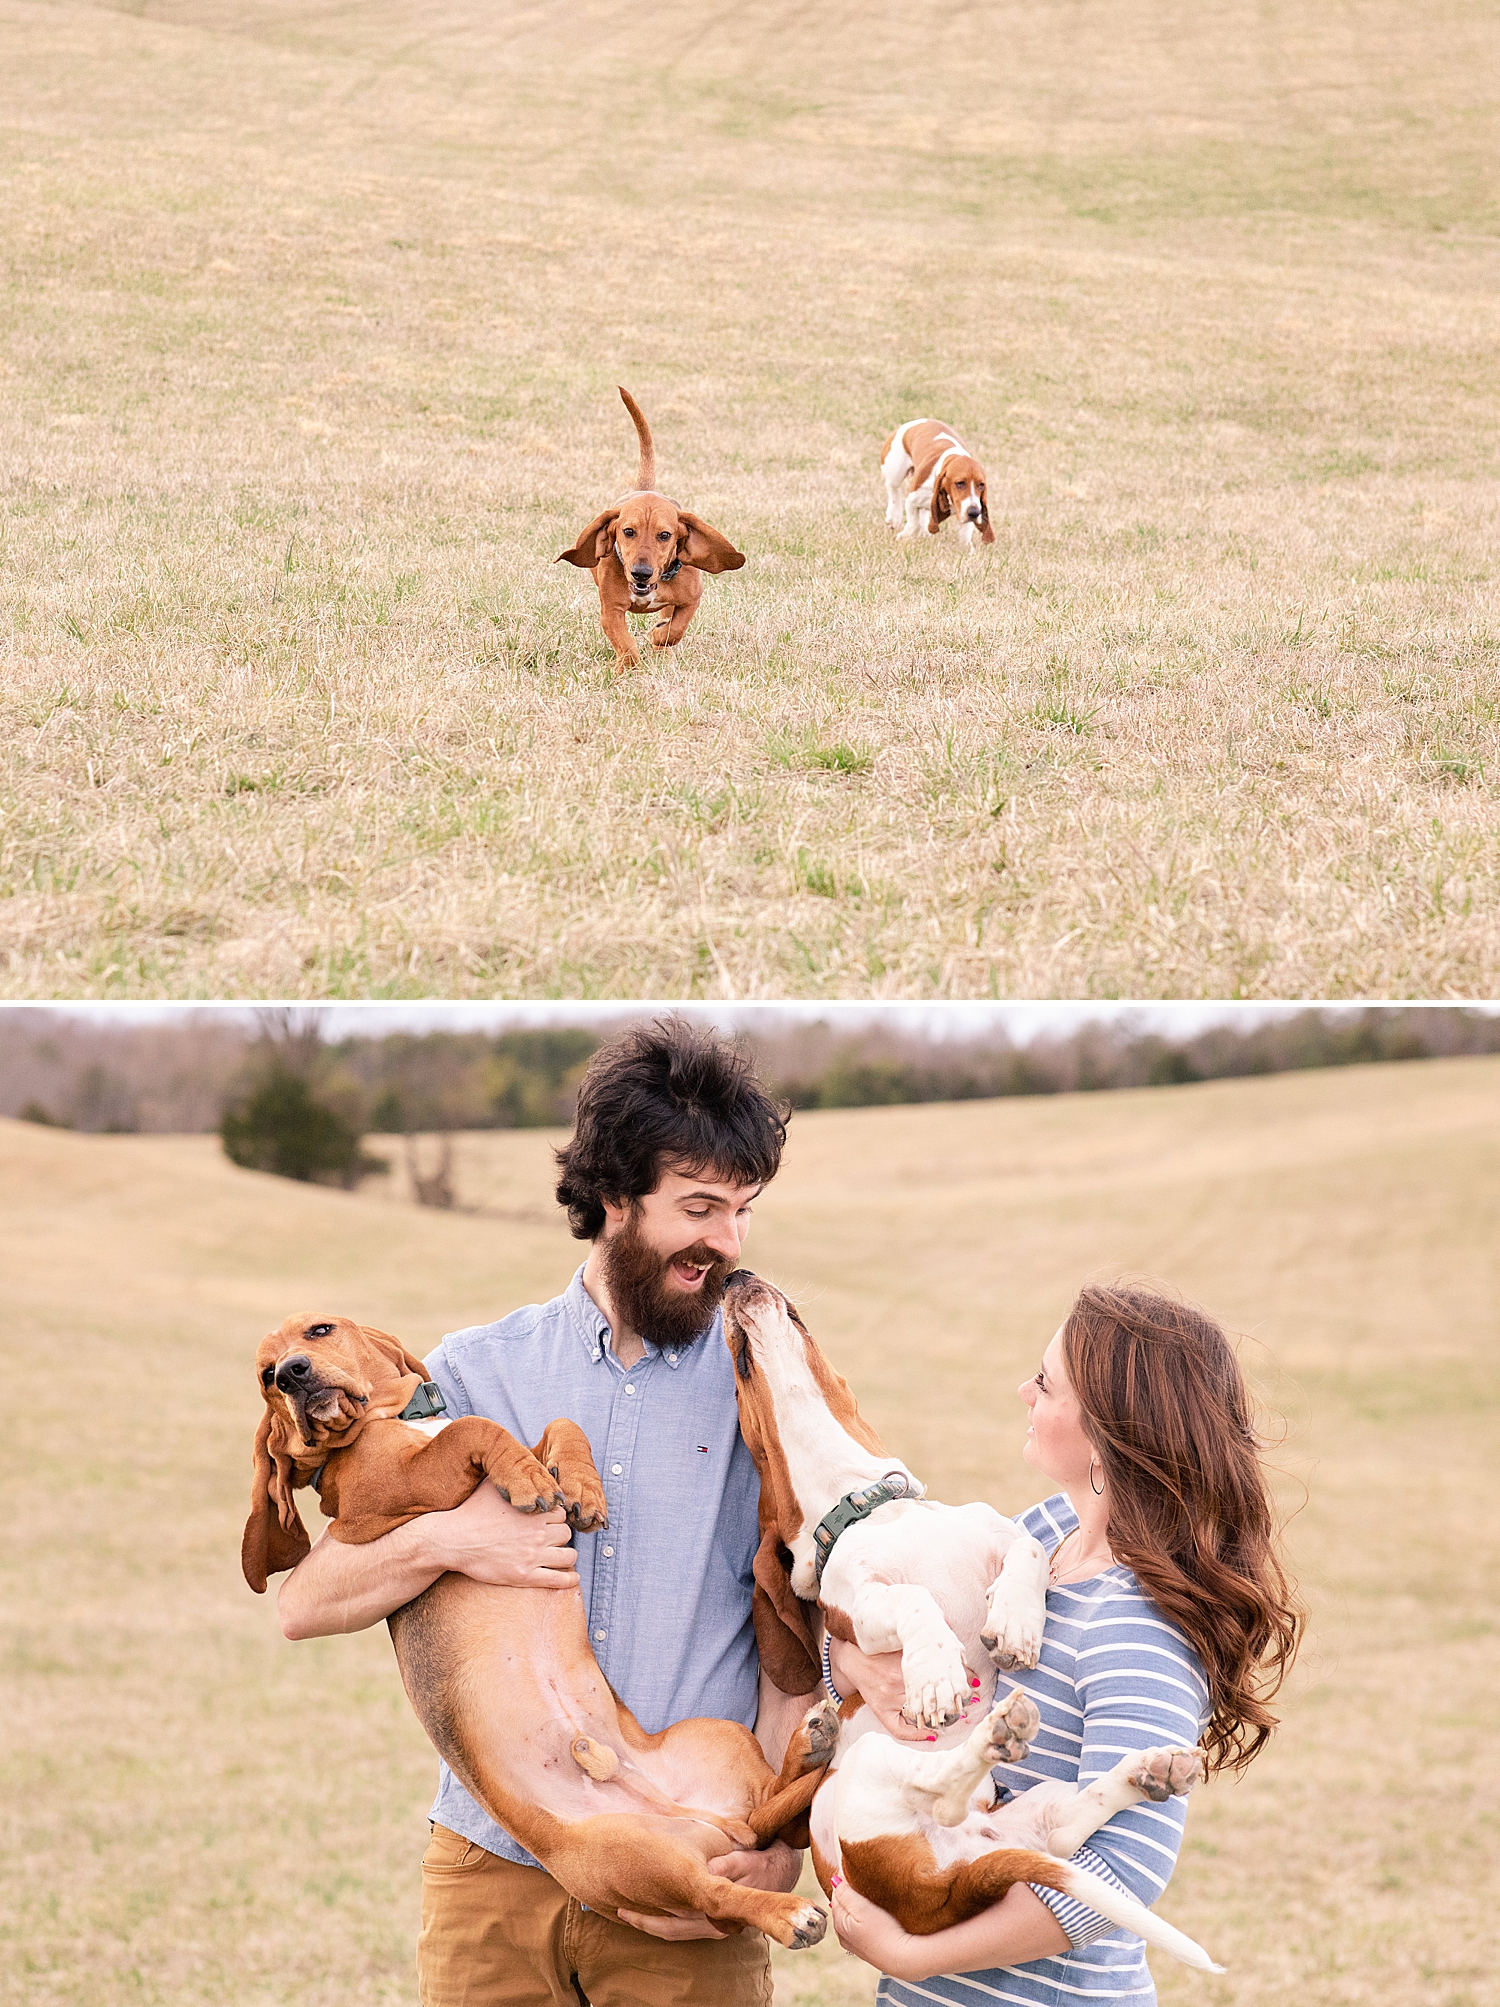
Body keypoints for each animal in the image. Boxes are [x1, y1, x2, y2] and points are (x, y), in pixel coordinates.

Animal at [554, 387, 746, 678]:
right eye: (628, 531)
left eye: (665, 535)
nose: (641, 573)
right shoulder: (610, 611)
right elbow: (626, 644)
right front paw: (624, 667)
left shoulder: (691, 600)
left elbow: (675, 629)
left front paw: (659, 638)